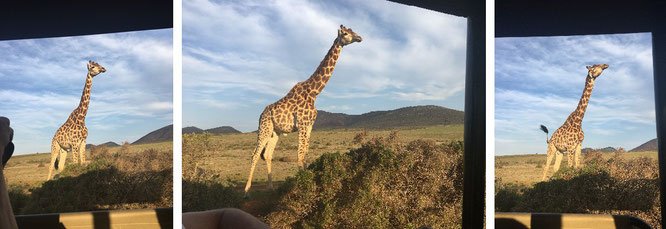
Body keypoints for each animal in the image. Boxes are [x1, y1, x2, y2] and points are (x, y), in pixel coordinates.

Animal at [243, 24, 360, 197]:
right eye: (345, 33)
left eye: (353, 31)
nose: (360, 38)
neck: (314, 92)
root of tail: (261, 114)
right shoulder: (303, 125)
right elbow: (299, 158)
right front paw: (300, 190)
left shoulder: (310, 126)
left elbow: (305, 156)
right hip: (264, 128)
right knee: (255, 154)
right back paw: (246, 192)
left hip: (275, 132)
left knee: (268, 154)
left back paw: (271, 189)